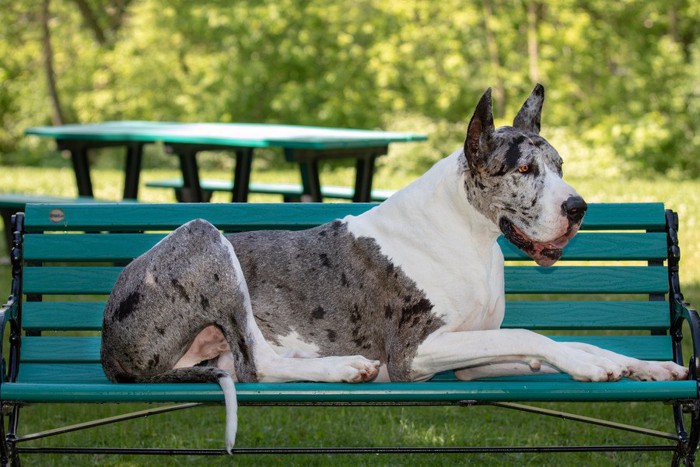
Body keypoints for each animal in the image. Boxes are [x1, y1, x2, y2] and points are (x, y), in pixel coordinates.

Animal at [101, 86, 688, 452]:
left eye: (560, 165)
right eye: (524, 169)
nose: (578, 207)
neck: (471, 235)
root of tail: (109, 350)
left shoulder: (472, 363)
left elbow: (565, 342)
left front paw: (643, 365)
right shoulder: (414, 353)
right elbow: (534, 334)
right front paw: (589, 366)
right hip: (206, 235)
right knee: (255, 364)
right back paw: (342, 368)